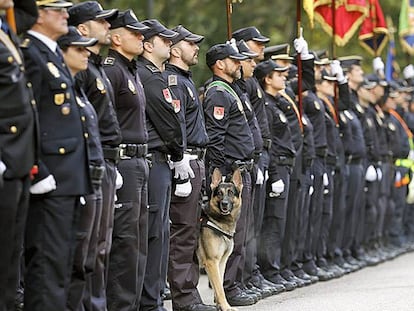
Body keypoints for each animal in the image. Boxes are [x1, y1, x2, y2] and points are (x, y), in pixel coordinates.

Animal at [197, 168, 243, 311]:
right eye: (219, 193)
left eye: (231, 193)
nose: (224, 204)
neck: (217, 221)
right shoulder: (212, 262)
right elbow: (220, 288)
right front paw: (226, 306)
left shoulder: (221, 262)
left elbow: (219, 285)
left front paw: (220, 306)